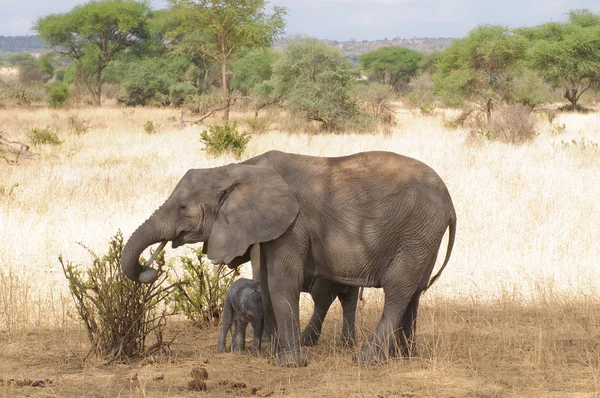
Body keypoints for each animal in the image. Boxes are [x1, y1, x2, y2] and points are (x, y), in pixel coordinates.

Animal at [120, 150, 454, 366]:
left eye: (183, 207)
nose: (152, 267)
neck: (238, 169)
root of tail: (449, 202)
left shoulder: (292, 224)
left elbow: (282, 282)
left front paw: (289, 364)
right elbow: (267, 284)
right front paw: (270, 354)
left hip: (417, 231)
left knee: (397, 291)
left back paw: (366, 359)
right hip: (423, 236)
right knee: (414, 292)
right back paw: (403, 357)